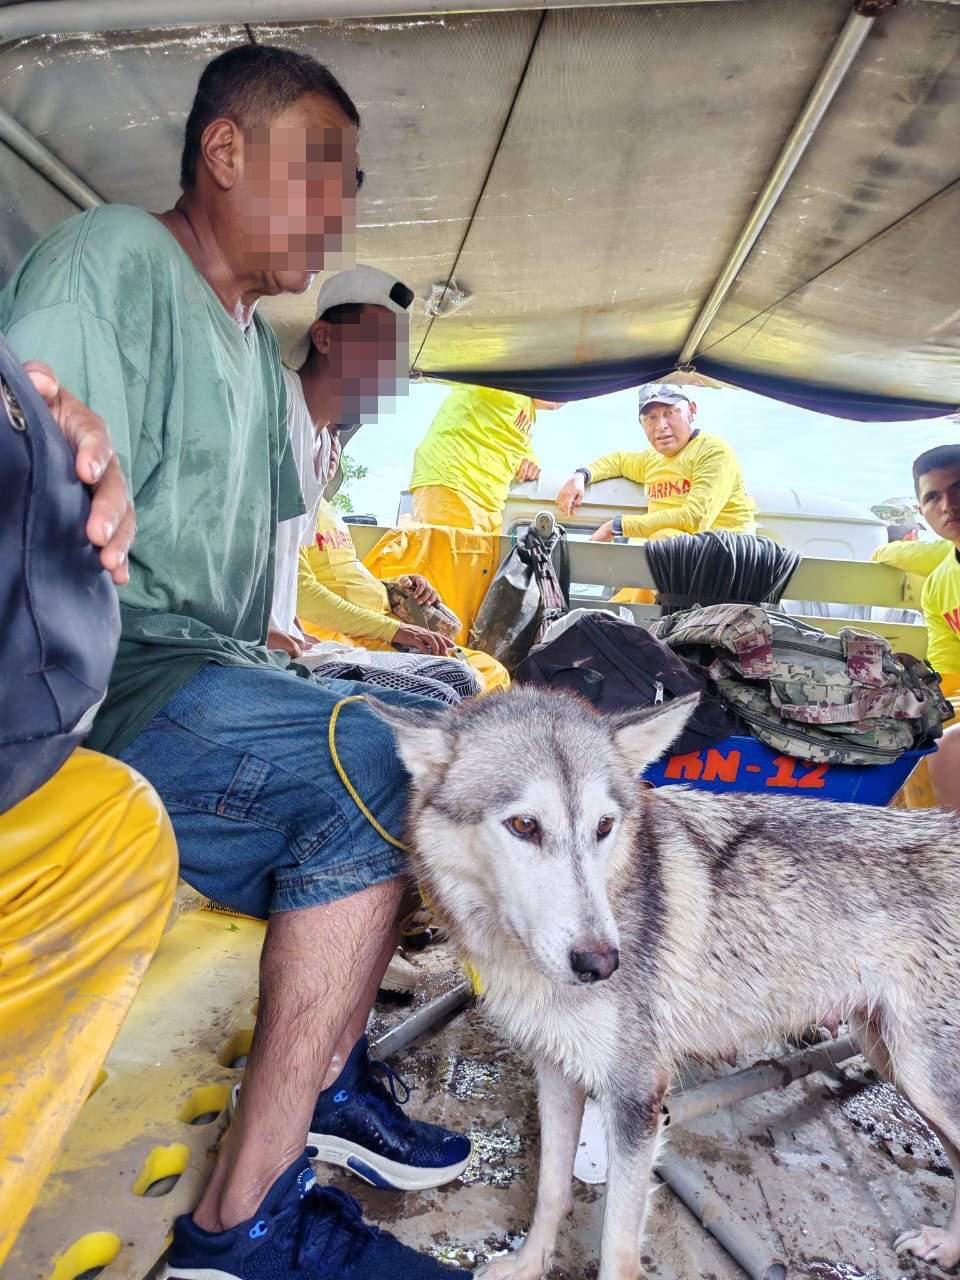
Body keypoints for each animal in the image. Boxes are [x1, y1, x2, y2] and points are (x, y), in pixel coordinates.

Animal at [371, 691, 960, 1280]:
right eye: (524, 825)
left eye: (604, 826)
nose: (602, 963)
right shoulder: (558, 1073)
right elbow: (551, 1191)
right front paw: (529, 1264)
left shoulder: (636, 1097)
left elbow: (617, 1247)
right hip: (892, 1057)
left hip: (919, 1076)